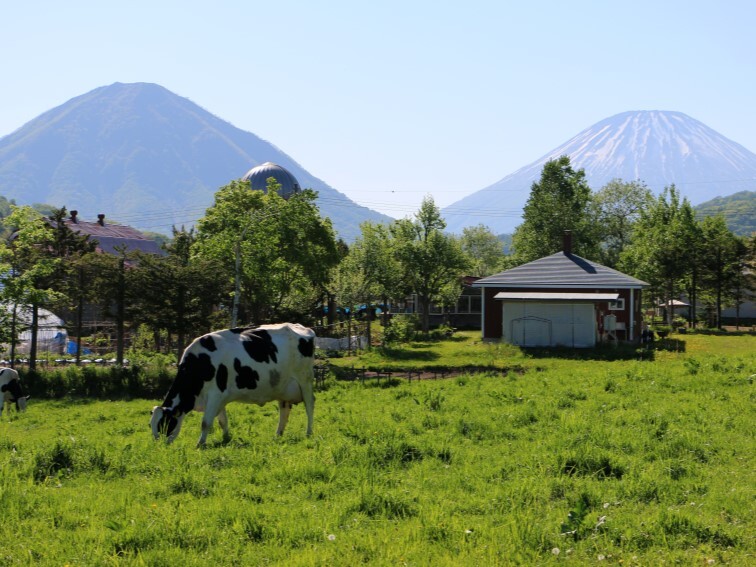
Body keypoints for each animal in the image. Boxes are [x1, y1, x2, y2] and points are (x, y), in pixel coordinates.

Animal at [152, 324, 318, 448]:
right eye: (150, 425)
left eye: (164, 423)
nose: (158, 446)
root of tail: (300, 327)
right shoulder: (219, 397)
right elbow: (222, 421)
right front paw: (226, 438)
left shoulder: (215, 394)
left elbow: (205, 422)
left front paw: (200, 444)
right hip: (281, 387)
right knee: (284, 410)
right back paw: (278, 435)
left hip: (305, 379)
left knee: (309, 405)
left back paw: (309, 433)